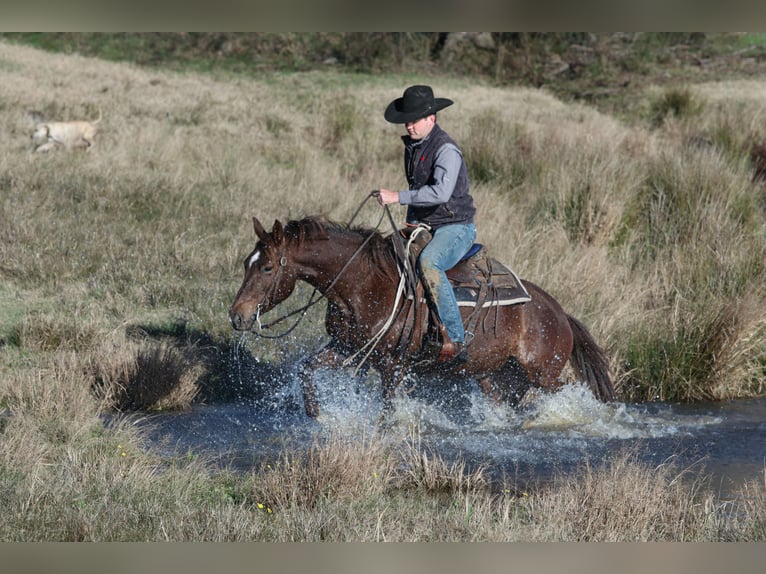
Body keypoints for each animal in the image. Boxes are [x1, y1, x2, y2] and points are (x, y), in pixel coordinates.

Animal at [225, 216, 616, 418]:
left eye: (268, 267)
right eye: (246, 262)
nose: (237, 316)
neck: (366, 285)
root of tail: (559, 312)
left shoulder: (393, 364)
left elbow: (386, 408)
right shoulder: (346, 349)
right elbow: (307, 369)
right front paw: (316, 412)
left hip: (542, 374)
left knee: (569, 391)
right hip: (496, 377)